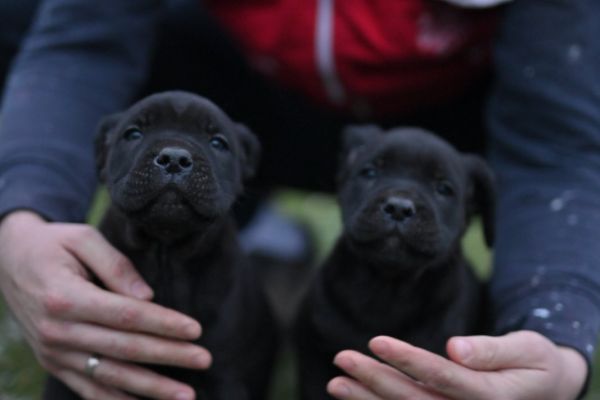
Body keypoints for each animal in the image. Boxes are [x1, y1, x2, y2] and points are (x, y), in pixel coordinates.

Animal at [45, 91, 278, 400]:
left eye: (218, 142)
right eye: (133, 134)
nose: (174, 158)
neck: (165, 252)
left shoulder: (226, 378)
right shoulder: (67, 379)